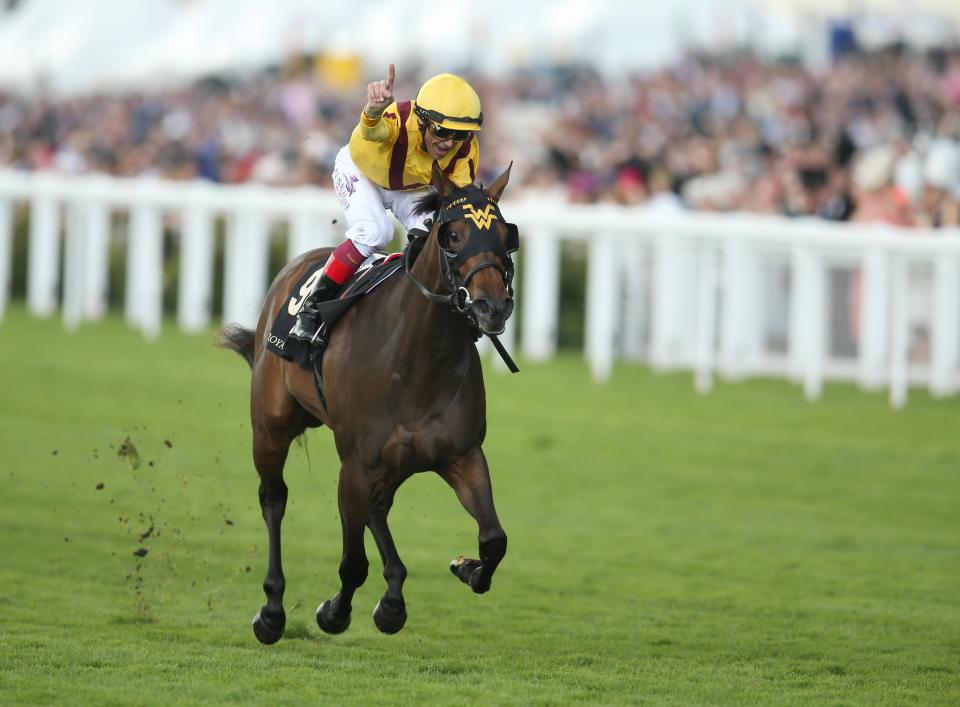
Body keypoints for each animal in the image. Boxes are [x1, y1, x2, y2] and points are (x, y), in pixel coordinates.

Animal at [219, 160, 516, 640]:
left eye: (507, 236)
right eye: (453, 235)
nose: (493, 307)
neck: (416, 360)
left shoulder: (463, 454)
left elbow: (493, 540)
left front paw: (466, 567)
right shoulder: (356, 465)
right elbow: (353, 563)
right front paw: (332, 612)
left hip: (395, 463)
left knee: (379, 508)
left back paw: (393, 596)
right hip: (270, 426)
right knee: (274, 497)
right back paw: (272, 610)